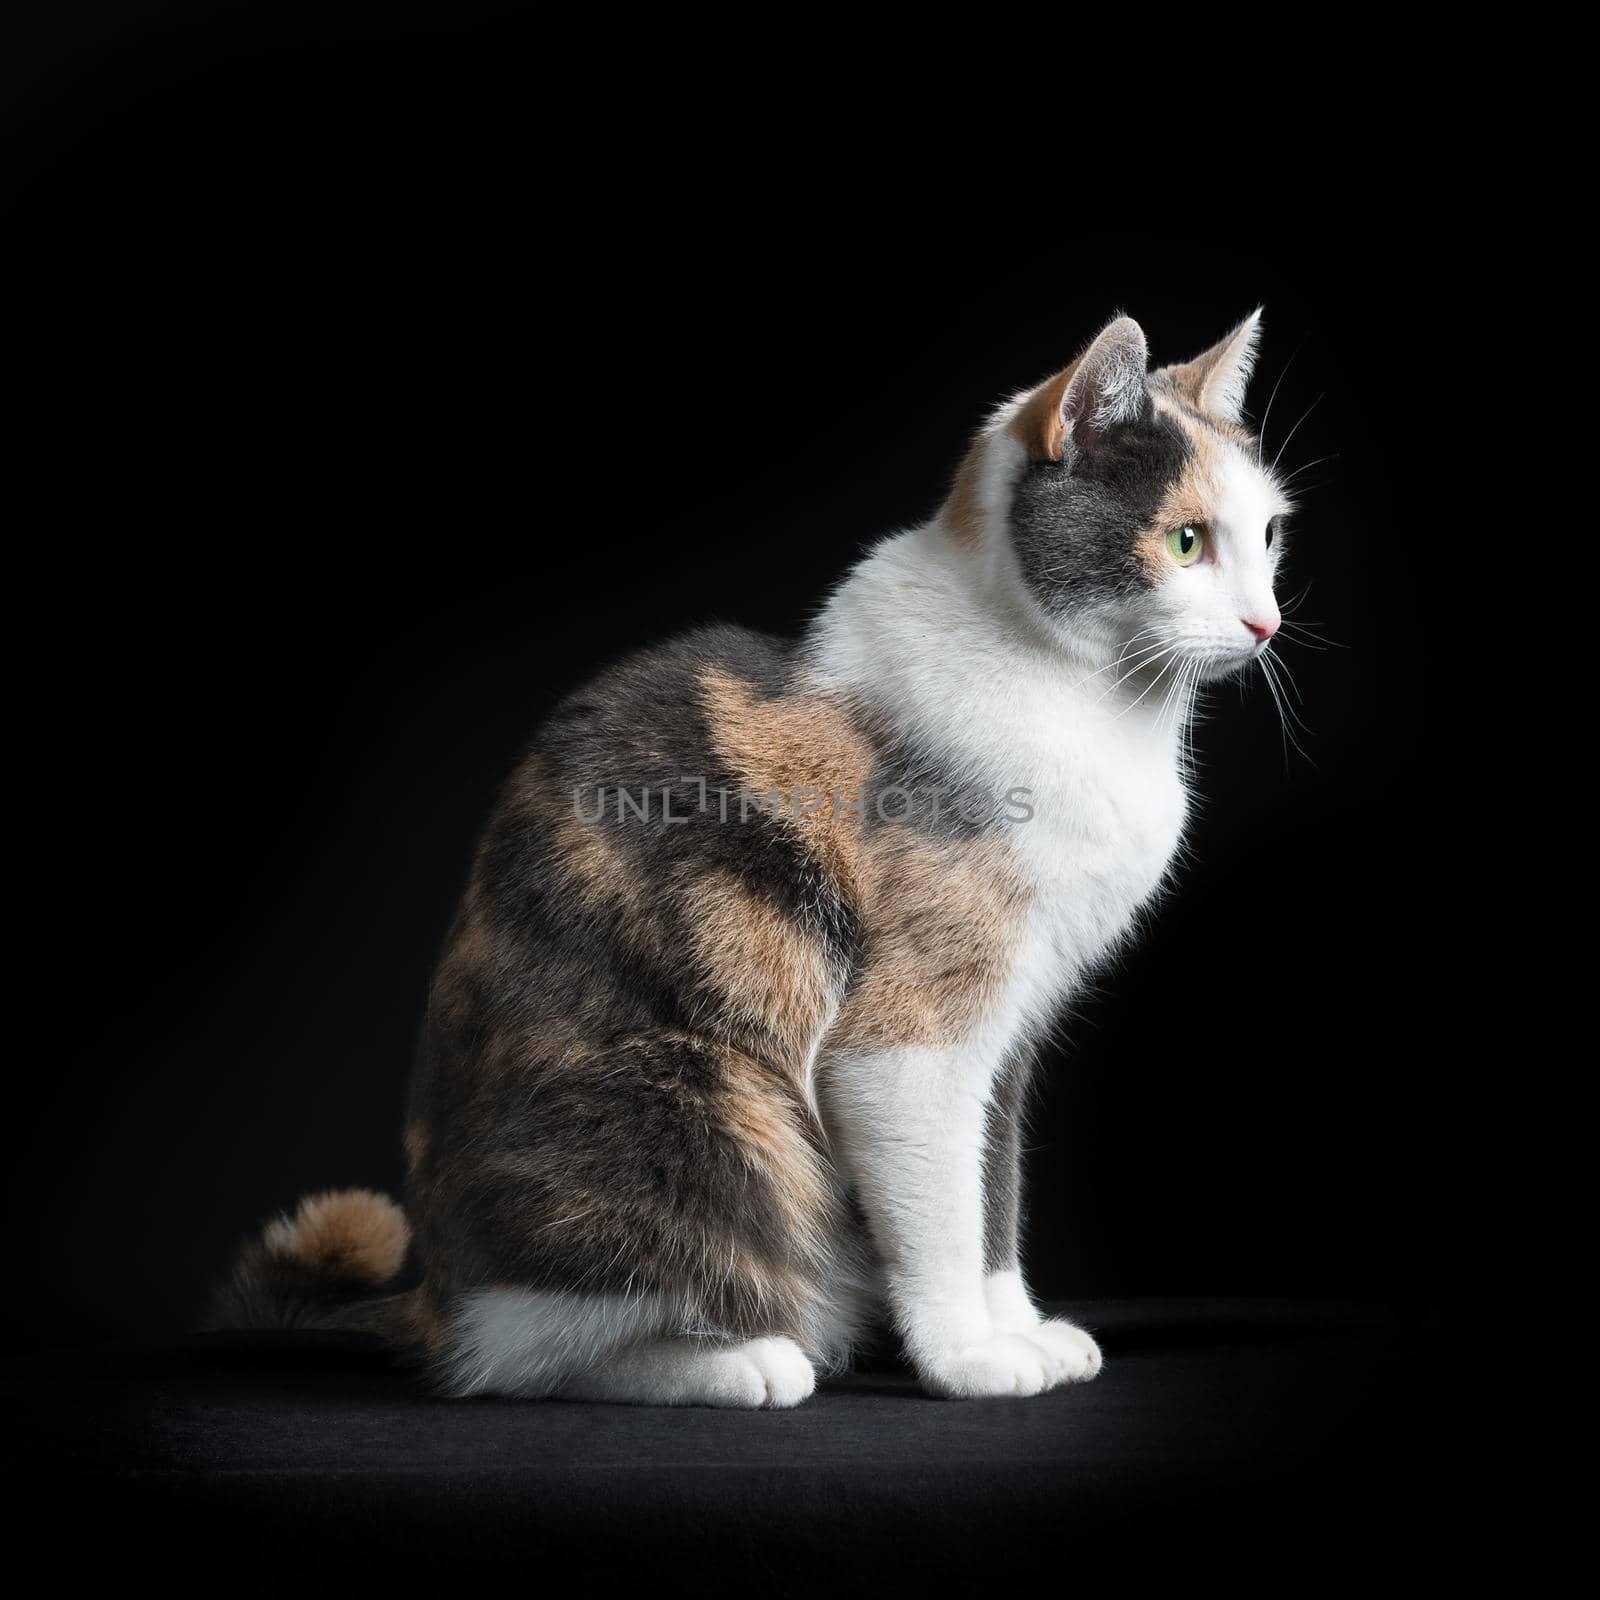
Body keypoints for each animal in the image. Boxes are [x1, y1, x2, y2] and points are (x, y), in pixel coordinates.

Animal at [212, 308, 1286, 1401]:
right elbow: (943, 1211)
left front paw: (1020, 1328)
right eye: (1186, 540)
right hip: (701, 1112)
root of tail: (433, 1293)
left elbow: (994, 1190)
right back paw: (739, 1362)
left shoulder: (1015, 1031)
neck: (1103, 707)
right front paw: (968, 1357)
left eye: (1269, 537)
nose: (1267, 621)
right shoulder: (912, 1034)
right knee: (530, 1350)